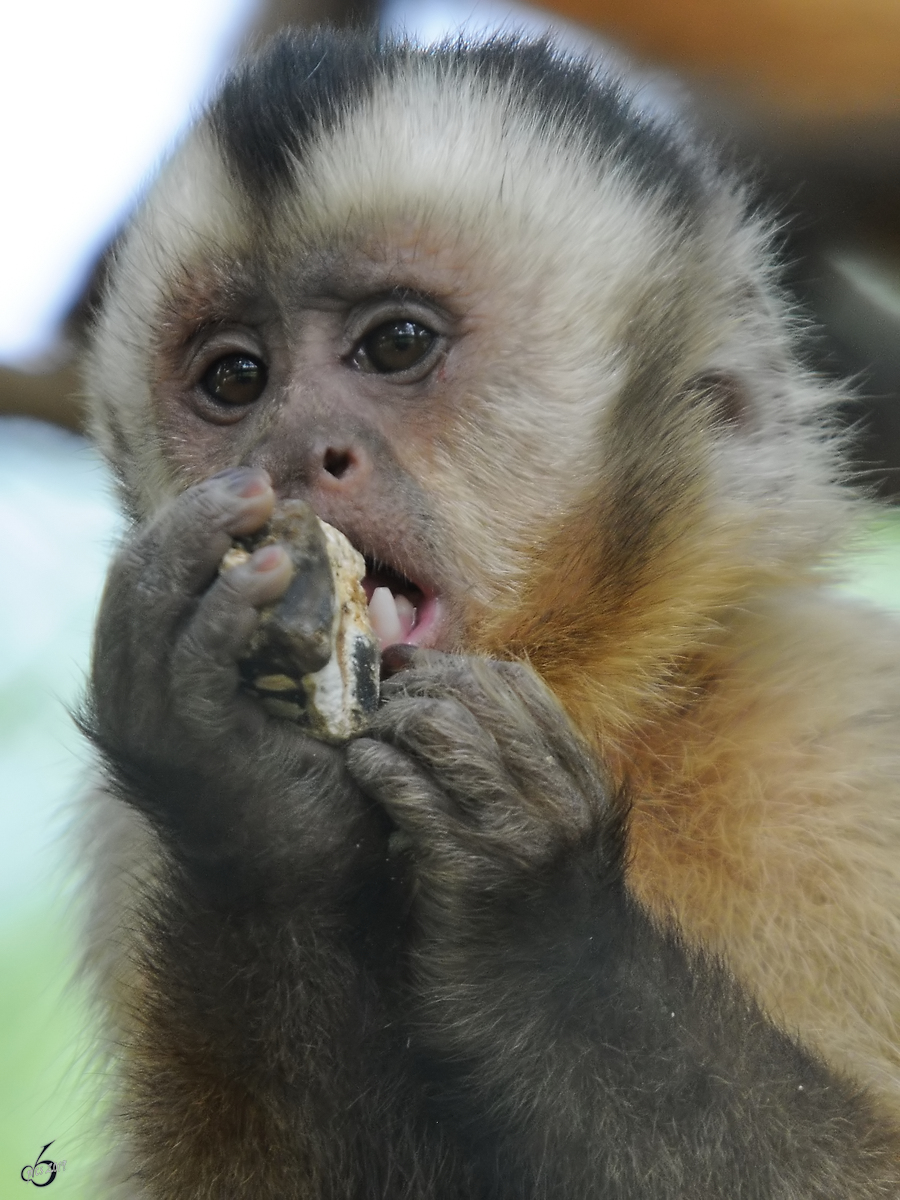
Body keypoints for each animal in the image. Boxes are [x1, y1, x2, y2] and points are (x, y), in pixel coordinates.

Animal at [81, 25, 900, 1200]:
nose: (296, 449)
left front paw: (538, 921)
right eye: (236, 378)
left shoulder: (835, 737)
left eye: (395, 345)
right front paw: (251, 807)